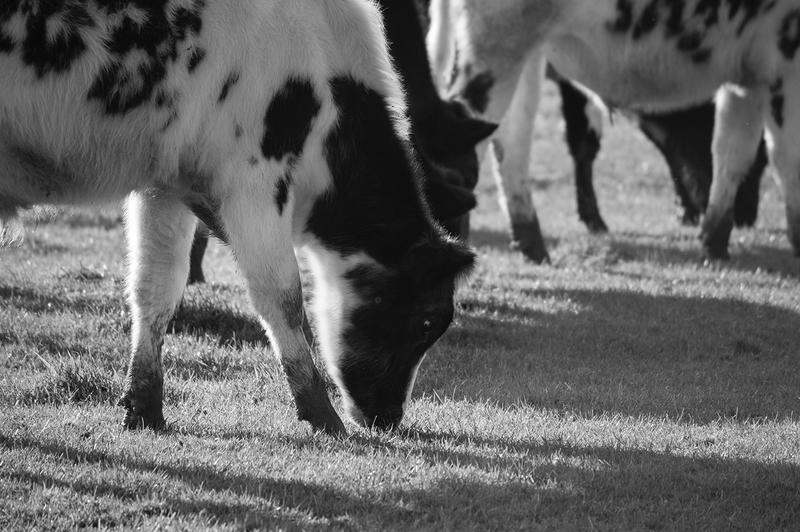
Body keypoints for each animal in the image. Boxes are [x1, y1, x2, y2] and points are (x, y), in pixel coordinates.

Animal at [0, 0, 476, 434]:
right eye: (427, 320)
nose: (390, 417)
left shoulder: (165, 184)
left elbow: (156, 286)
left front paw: (144, 408)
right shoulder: (254, 183)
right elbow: (282, 296)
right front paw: (321, 414)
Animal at [432, 0, 800, 260]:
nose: (747, 217)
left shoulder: (747, 78)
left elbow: (732, 152)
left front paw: (715, 242)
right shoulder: (785, 61)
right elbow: (787, 159)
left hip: (524, 53)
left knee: (512, 140)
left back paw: (529, 241)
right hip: (497, 46)